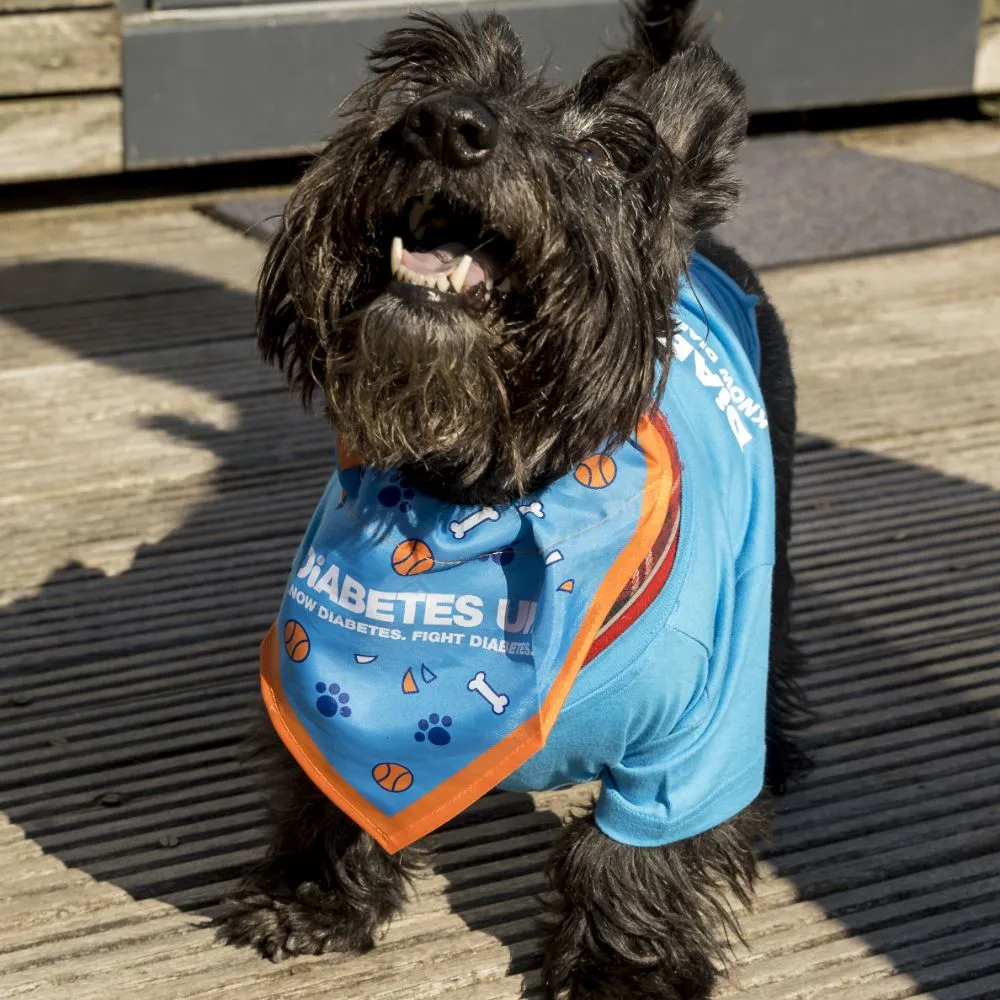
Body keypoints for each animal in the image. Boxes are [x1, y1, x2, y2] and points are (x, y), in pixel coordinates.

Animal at [223, 3, 808, 996]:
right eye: (422, 76)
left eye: (601, 153)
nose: (444, 126)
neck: (482, 501)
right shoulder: (317, 692)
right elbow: (326, 787)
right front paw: (312, 897)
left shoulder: (691, 747)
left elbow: (633, 858)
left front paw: (622, 971)